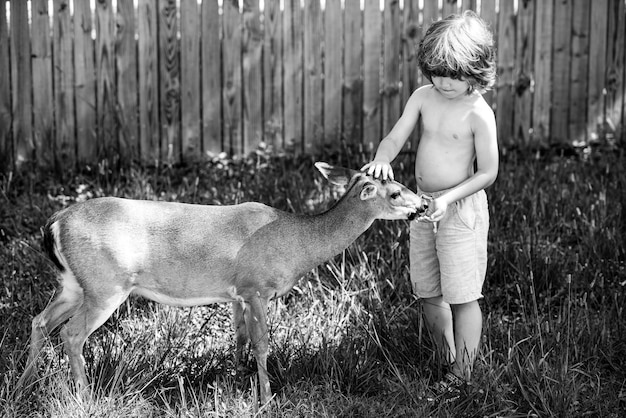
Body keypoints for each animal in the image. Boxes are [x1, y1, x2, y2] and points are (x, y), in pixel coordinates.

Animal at [18, 162, 424, 404]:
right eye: (395, 192)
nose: (422, 205)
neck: (297, 241)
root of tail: (54, 222)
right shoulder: (256, 286)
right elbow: (262, 343)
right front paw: (266, 397)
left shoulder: (237, 293)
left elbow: (240, 337)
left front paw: (235, 379)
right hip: (107, 283)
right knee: (71, 333)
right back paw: (84, 397)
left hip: (74, 283)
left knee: (39, 320)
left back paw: (26, 383)